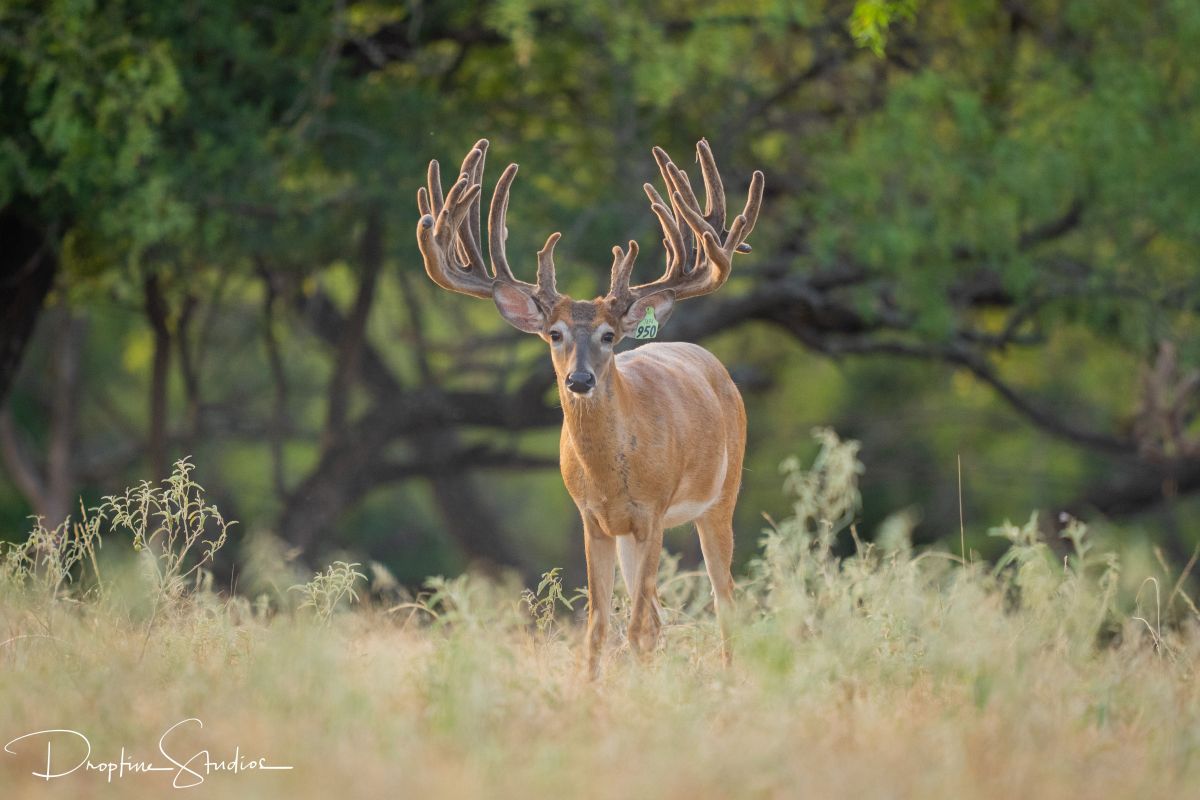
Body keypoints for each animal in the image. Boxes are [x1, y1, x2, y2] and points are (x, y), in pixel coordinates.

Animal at [417, 137, 763, 676]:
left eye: (608, 335)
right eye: (554, 334)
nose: (579, 380)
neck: (612, 474)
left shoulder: (653, 512)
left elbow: (637, 625)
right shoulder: (592, 519)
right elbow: (600, 626)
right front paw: (593, 685)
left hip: (721, 496)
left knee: (724, 599)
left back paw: (728, 674)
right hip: (631, 534)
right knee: (661, 617)